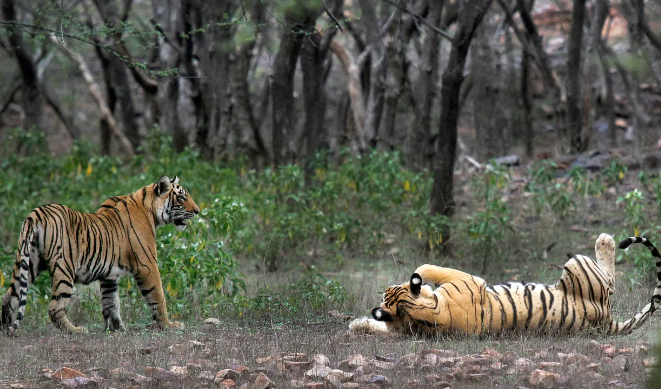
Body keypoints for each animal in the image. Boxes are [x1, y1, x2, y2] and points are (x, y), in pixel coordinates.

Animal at [0, 176, 199, 334]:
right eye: (182, 197)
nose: (197, 211)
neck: (150, 209)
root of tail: (36, 213)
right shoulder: (147, 265)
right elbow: (158, 296)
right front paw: (169, 325)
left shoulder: (109, 275)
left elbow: (111, 303)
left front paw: (118, 328)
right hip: (64, 267)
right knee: (55, 307)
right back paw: (76, 330)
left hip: (28, 262)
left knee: (9, 296)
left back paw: (5, 328)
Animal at [350, 233, 660, 336]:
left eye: (387, 292)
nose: (386, 288)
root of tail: (605, 321)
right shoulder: (467, 279)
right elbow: (427, 268)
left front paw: (357, 324)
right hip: (577, 264)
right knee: (610, 280)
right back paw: (605, 240)